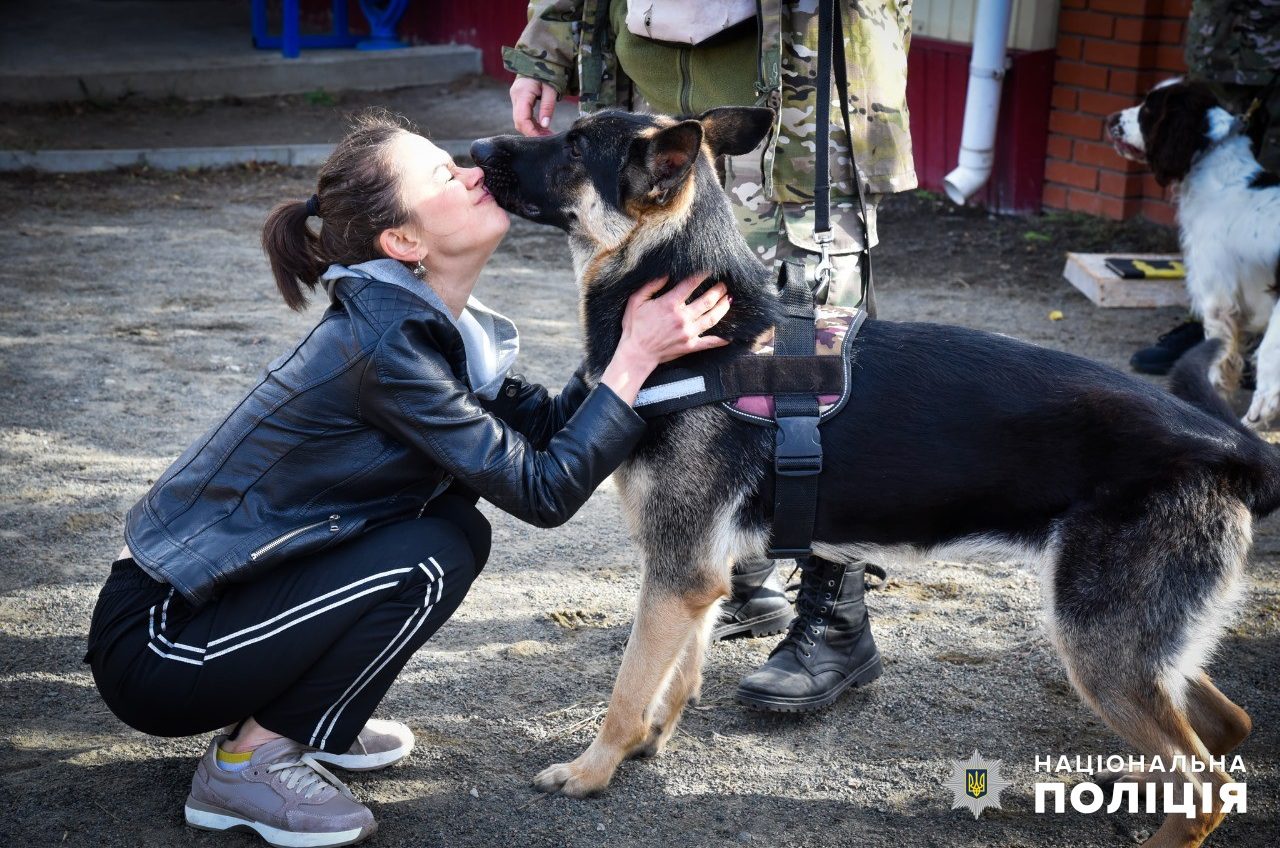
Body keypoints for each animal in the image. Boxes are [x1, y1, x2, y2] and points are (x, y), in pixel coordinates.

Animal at [476, 109, 1274, 845]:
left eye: (574, 144)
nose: (477, 147)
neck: (707, 332)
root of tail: (1231, 447)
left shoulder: (675, 574)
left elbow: (628, 686)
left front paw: (591, 770)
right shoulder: (695, 576)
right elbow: (677, 675)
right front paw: (649, 742)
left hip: (1098, 646)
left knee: (1207, 781)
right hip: (1134, 647)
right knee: (1226, 728)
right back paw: (1129, 777)